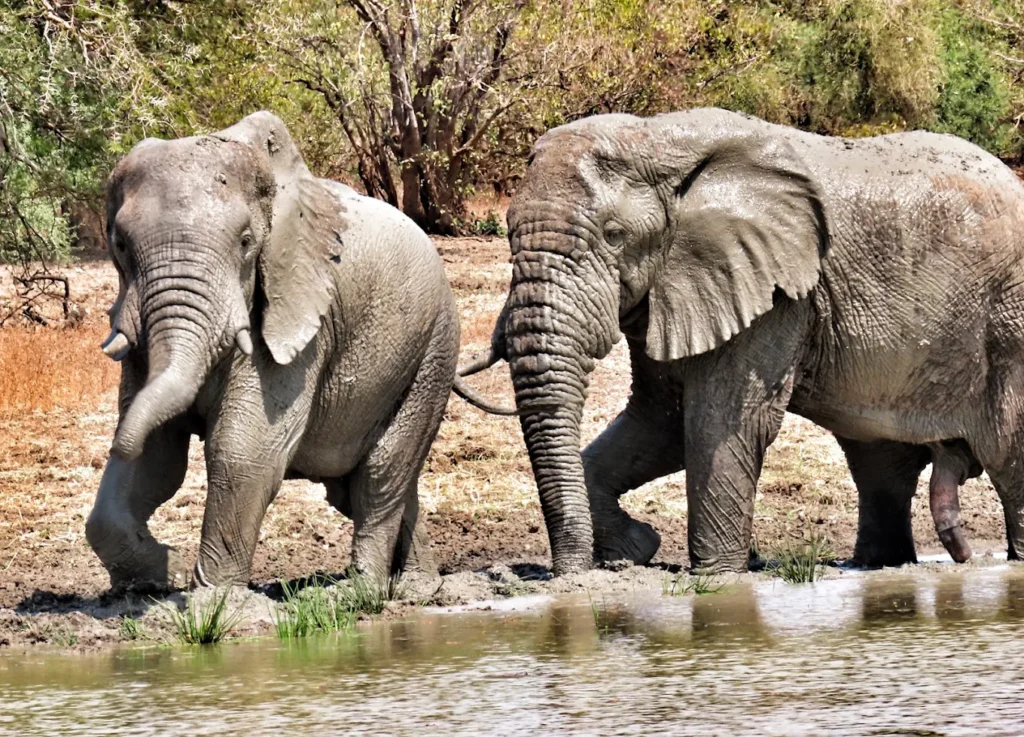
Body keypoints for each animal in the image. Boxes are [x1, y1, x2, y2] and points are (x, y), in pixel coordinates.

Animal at [85, 111, 492, 590]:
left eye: (245, 242)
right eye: (120, 245)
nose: (176, 564)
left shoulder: (299, 317)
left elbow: (242, 451)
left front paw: (216, 597)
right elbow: (156, 458)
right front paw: (162, 575)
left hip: (435, 346)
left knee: (381, 471)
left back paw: (362, 591)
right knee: (369, 483)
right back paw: (419, 588)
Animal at [459, 107, 1024, 574]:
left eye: (614, 235)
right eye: (507, 231)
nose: (568, 577)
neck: (655, 138)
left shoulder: (776, 291)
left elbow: (719, 422)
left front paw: (716, 578)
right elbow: (660, 421)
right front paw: (635, 548)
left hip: (1009, 323)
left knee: (1006, 451)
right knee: (881, 464)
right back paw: (879, 567)